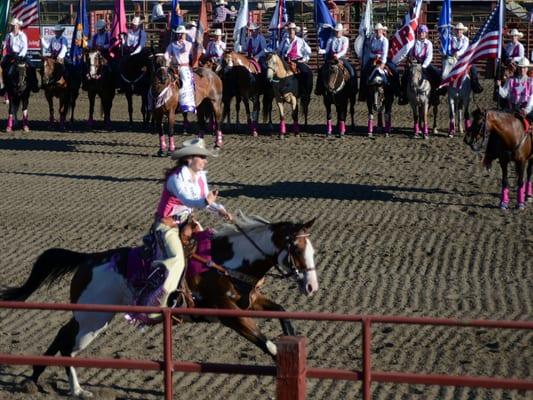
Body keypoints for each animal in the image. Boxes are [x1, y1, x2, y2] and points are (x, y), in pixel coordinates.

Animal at [0, 212, 316, 396]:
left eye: (312, 249)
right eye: (297, 248)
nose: (312, 286)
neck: (223, 263)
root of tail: (89, 259)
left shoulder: (251, 303)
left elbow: (283, 314)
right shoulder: (231, 316)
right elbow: (267, 343)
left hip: (89, 316)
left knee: (62, 334)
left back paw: (33, 378)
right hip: (93, 319)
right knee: (68, 345)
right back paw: (76, 390)